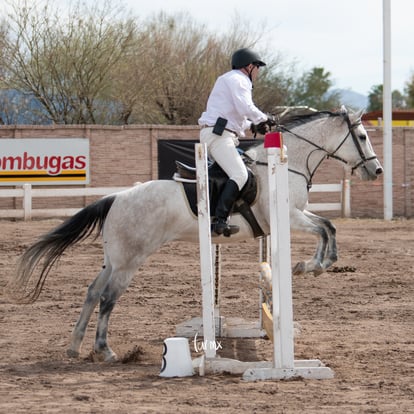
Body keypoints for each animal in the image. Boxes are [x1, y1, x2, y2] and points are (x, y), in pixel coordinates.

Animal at [6, 105, 384, 360]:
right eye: (363, 136)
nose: (377, 170)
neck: (285, 162)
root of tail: (116, 197)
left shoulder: (295, 215)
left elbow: (328, 227)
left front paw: (315, 264)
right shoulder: (287, 217)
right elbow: (323, 230)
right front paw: (312, 265)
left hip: (113, 259)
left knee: (91, 292)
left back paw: (74, 347)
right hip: (129, 262)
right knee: (108, 298)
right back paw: (105, 350)